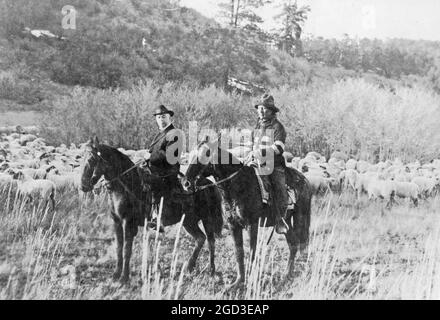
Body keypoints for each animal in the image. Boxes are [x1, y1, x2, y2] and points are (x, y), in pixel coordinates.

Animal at [79, 136, 223, 284]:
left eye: (91, 160)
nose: (83, 186)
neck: (126, 186)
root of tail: (209, 184)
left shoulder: (127, 222)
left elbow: (126, 250)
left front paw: (124, 277)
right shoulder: (117, 222)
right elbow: (119, 248)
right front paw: (116, 274)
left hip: (206, 219)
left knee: (211, 241)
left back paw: (212, 271)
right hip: (189, 221)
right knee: (200, 238)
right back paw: (189, 267)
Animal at [182, 141, 312, 292]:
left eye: (206, 154)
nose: (186, 183)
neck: (238, 186)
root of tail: (304, 179)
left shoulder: (252, 224)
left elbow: (252, 251)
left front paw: (249, 279)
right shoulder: (233, 225)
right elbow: (239, 252)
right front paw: (238, 282)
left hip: (300, 217)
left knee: (299, 243)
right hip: (286, 222)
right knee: (293, 244)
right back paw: (287, 275)